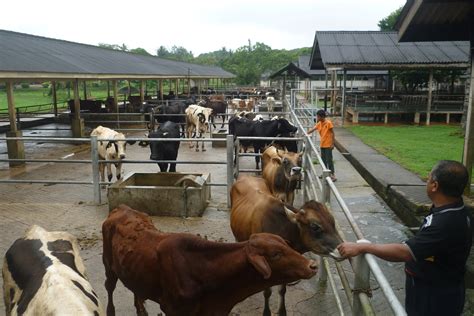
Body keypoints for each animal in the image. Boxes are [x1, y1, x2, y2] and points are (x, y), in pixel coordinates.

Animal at [103, 204, 318, 314]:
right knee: (110, 288)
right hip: (109, 267)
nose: (313, 265)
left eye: (286, 244)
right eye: (275, 254)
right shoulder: (172, 309)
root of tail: (122, 208)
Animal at [229, 175, 340, 316]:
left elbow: (282, 290)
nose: (341, 247)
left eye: (332, 221)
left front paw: (282, 311)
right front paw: (266, 312)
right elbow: (267, 291)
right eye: (315, 226)